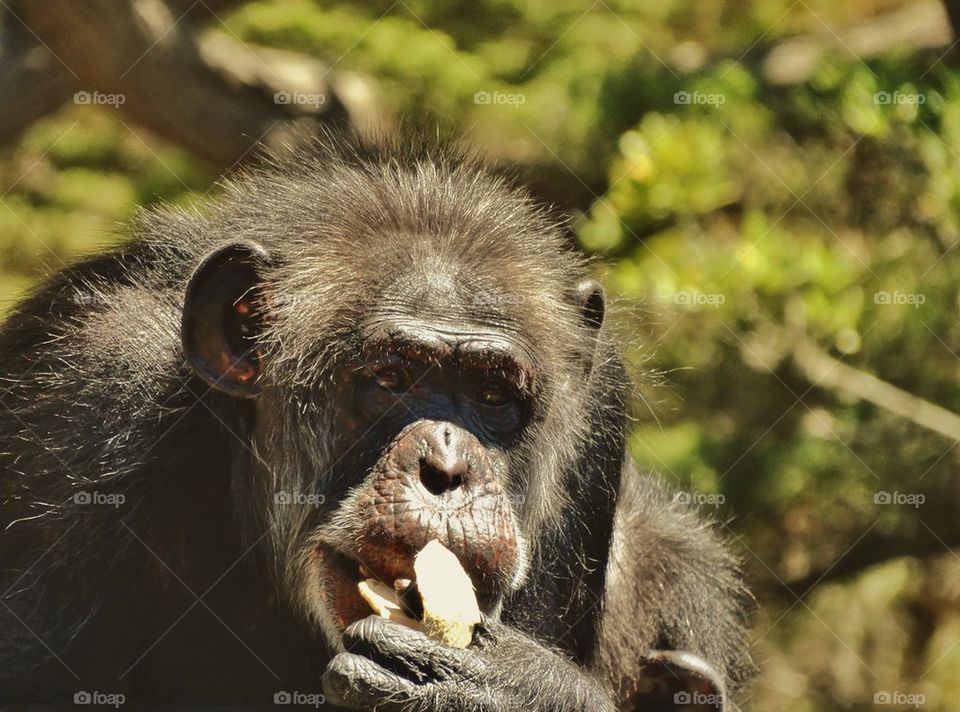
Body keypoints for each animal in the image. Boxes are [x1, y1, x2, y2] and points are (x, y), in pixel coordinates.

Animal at [0, 132, 752, 708]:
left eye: (492, 396)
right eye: (391, 380)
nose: (446, 468)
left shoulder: (599, 409)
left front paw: (511, 689)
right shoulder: (83, 400)